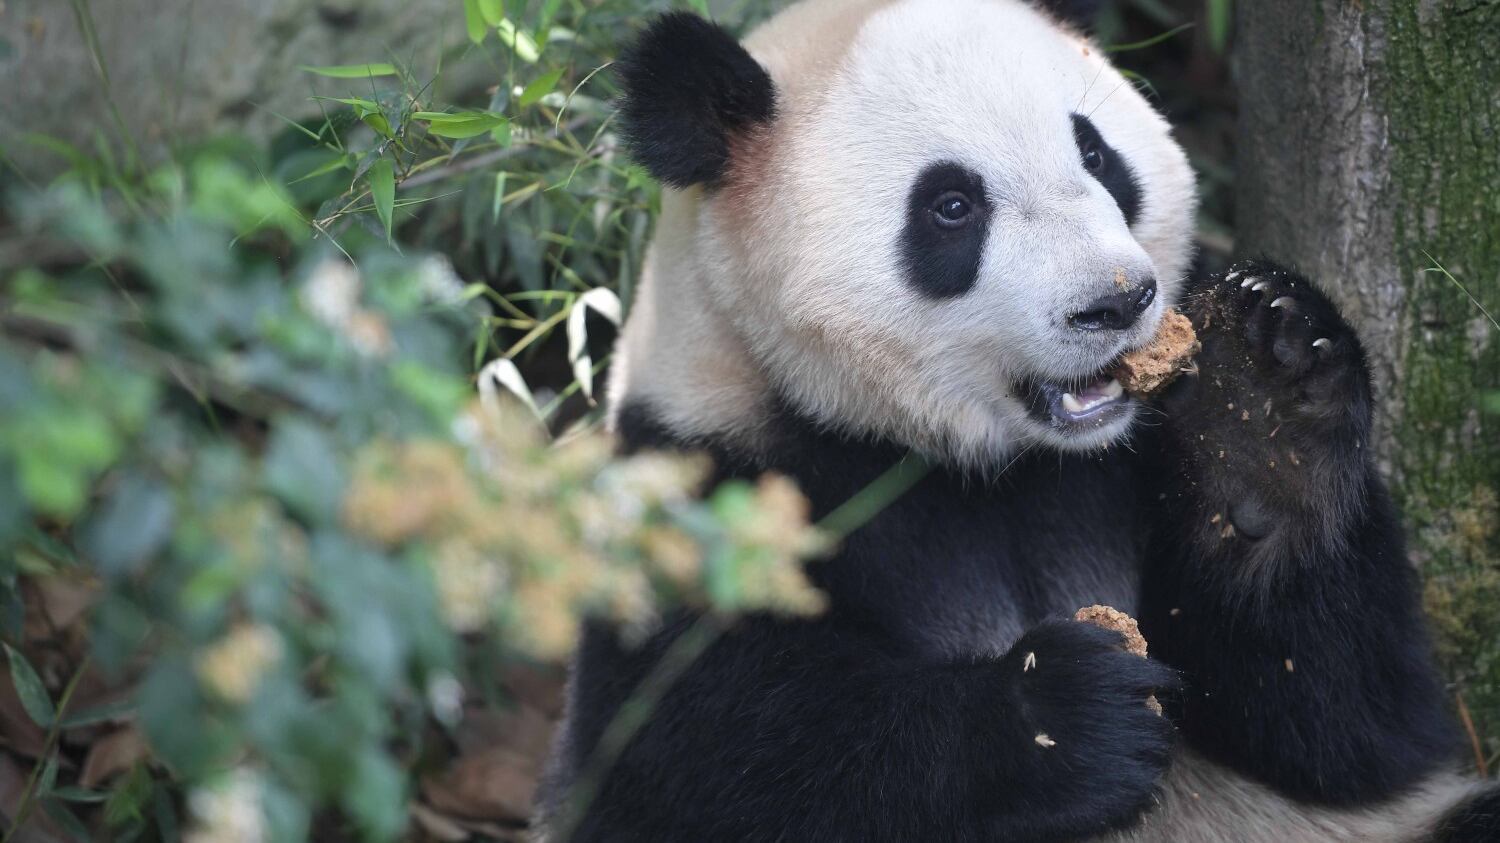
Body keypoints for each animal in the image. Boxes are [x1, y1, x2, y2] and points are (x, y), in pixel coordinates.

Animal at [536, 0, 1500, 840]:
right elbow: (693, 758)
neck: (988, 459)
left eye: (1097, 154)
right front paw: (1062, 714)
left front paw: (1265, 417)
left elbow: (1356, 729)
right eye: (951, 205)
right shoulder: (707, 477)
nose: (1118, 301)